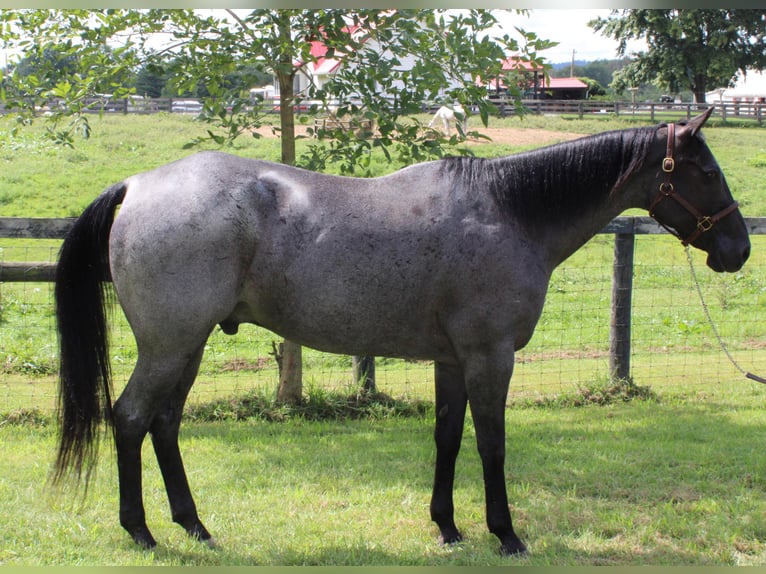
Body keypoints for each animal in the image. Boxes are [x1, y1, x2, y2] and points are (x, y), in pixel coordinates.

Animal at [52, 108, 752, 560]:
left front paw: (448, 528)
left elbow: (448, 439)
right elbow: (492, 446)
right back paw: (142, 532)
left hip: (188, 346)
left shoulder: (453, 361)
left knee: (164, 425)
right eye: (707, 172)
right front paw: (506, 534)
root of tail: (138, 184)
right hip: (170, 345)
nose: (738, 250)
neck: (510, 213)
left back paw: (194, 526)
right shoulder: (490, 357)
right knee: (131, 418)